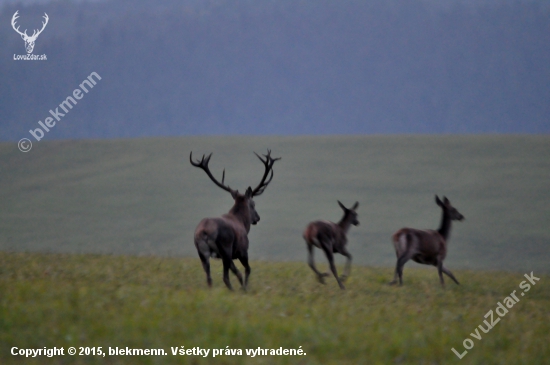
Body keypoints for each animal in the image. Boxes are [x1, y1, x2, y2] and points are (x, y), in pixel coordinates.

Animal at [193, 149, 280, 288]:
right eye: (253, 203)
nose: (258, 218)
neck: (242, 222)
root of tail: (204, 232)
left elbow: (238, 272)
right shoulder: (243, 250)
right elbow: (247, 269)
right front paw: (245, 288)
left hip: (202, 253)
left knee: (209, 278)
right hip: (225, 249)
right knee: (225, 277)